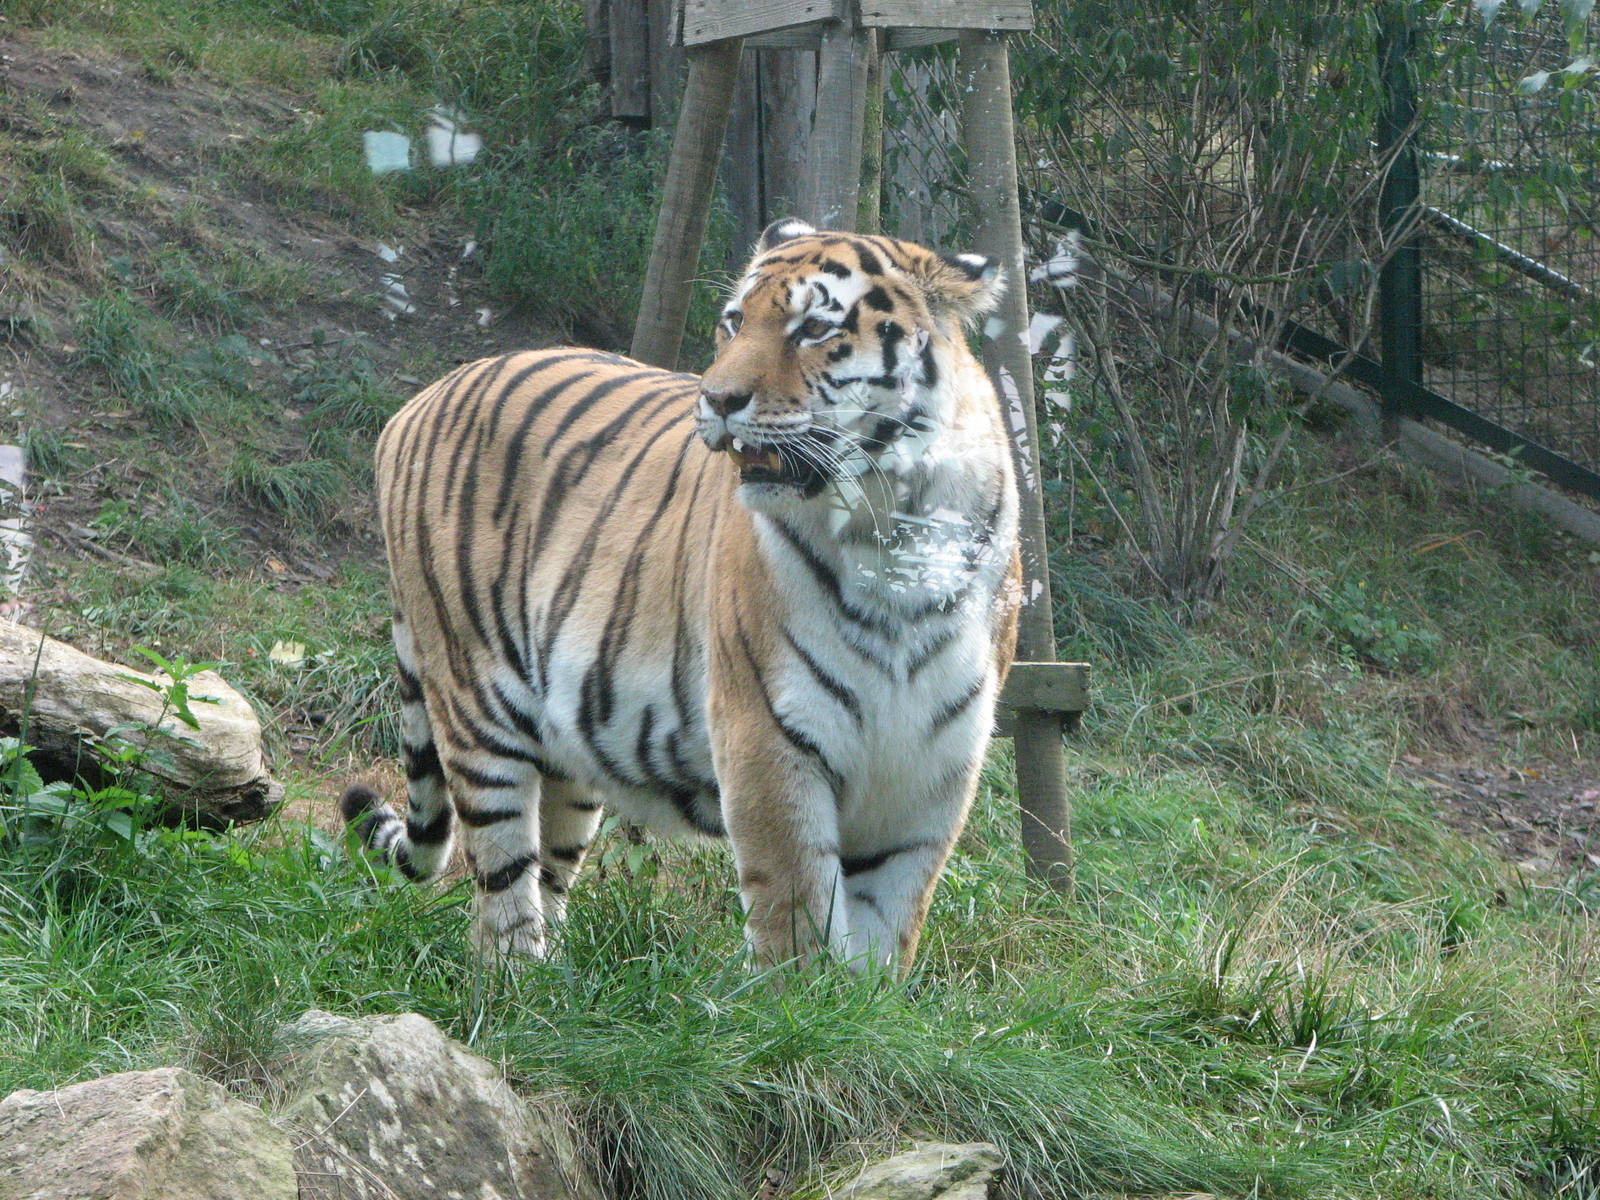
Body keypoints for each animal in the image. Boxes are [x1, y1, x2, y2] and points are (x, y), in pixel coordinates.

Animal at [342, 218, 1022, 975]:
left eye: (815, 328)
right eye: (734, 323)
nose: (718, 400)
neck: (892, 534)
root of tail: (418, 401)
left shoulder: (932, 772)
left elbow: (888, 935)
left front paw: (864, 1005)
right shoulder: (769, 737)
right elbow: (799, 922)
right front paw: (802, 1006)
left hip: (570, 740)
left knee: (549, 864)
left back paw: (557, 985)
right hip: (475, 699)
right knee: (499, 882)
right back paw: (514, 979)